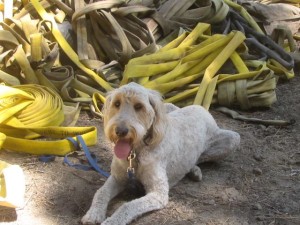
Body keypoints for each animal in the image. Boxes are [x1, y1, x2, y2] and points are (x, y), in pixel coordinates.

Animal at [81, 82, 240, 225]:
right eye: (117, 103)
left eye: (139, 106)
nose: (120, 131)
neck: (136, 153)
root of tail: (200, 107)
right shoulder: (117, 178)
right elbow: (101, 192)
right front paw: (93, 214)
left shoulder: (158, 193)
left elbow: (127, 205)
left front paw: (111, 221)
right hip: (168, 106)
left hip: (233, 139)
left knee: (201, 156)